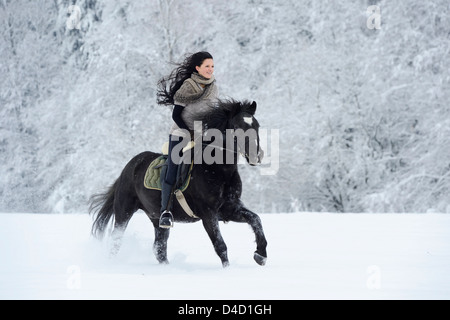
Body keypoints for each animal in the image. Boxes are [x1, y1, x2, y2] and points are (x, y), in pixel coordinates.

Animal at [90, 100, 268, 268]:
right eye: (237, 127)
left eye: (257, 125)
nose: (256, 156)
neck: (219, 170)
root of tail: (129, 167)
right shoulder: (208, 213)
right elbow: (220, 245)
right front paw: (228, 270)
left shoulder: (228, 209)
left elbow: (256, 219)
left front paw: (260, 255)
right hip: (124, 211)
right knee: (116, 241)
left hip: (157, 220)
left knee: (159, 248)